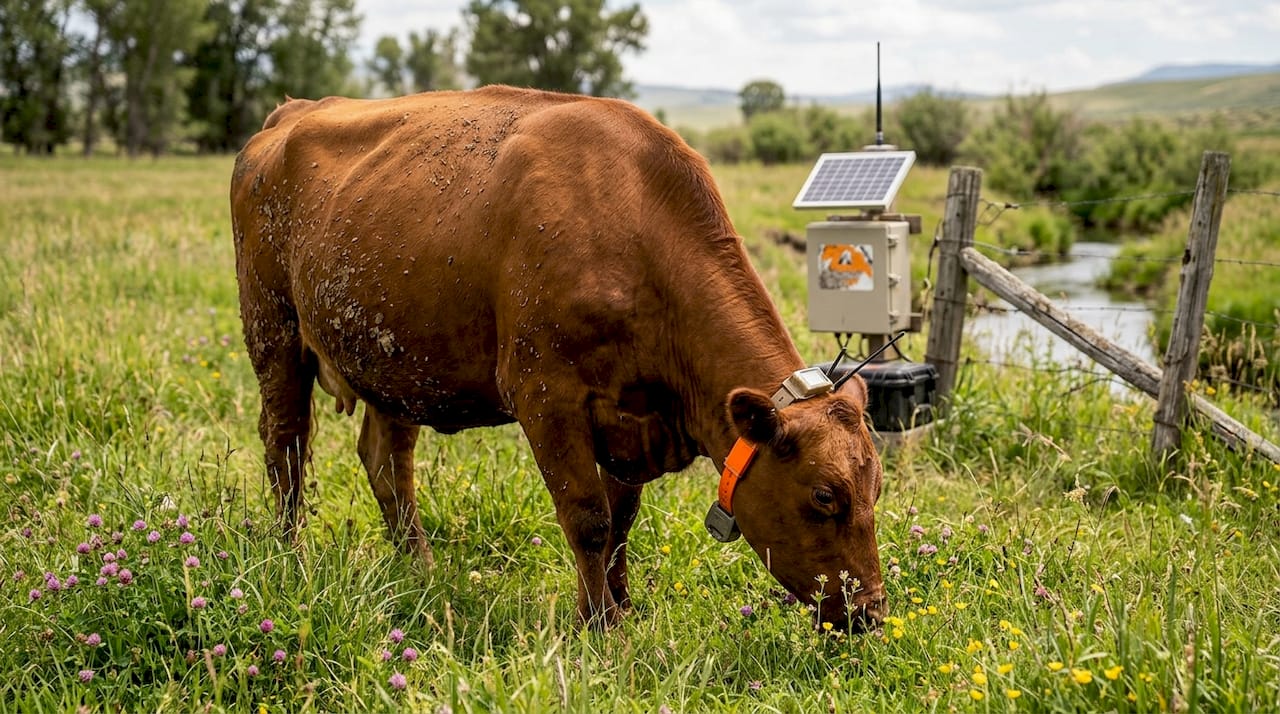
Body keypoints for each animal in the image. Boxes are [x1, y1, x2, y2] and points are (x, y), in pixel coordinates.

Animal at [230, 85, 886, 631]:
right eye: (823, 496)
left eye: (876, 488)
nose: (871, 612)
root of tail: (290, 113)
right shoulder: (547, 397)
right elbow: (588, 519)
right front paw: (600, 626)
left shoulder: (630, 418)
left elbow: (621, 520)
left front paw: (622, 606)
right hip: (273, 332)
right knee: (286, 443)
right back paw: (291, 553)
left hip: (394, 359)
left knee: (387, 461)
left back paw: (419, 567)